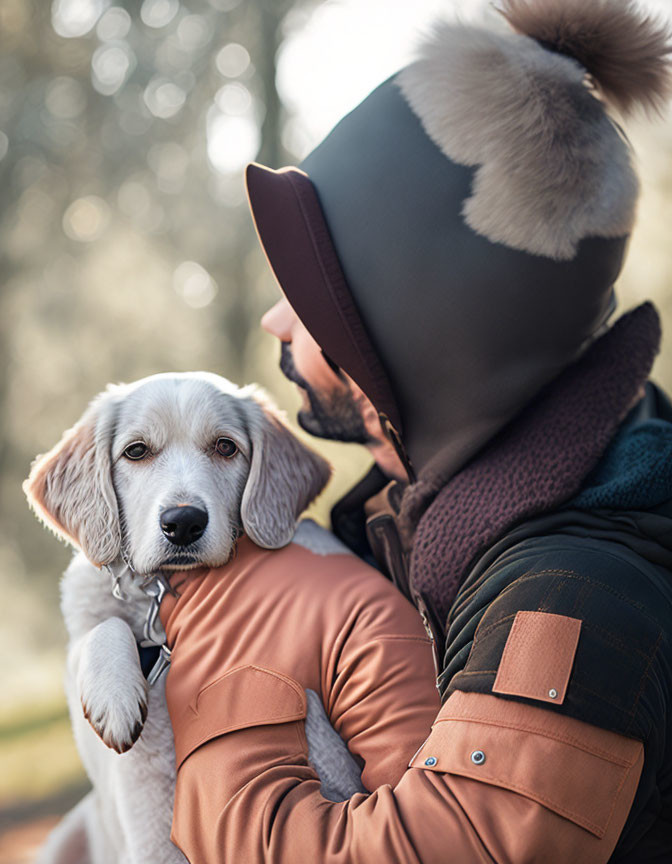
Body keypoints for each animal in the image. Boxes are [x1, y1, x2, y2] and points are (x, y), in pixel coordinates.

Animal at [25, 374, 368, 864]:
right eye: (136, 451)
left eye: (225, 447)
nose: (183, 523)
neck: (161, 594)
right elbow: (101, 626)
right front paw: (115, 695)